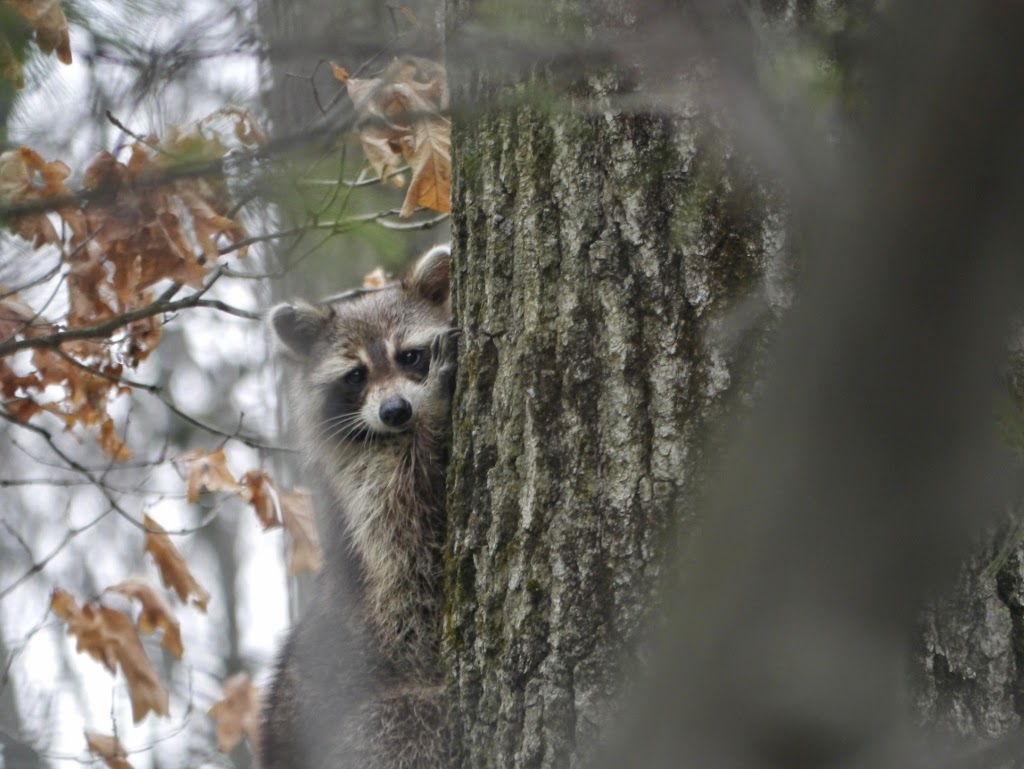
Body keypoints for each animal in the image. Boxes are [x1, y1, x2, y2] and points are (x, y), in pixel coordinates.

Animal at [262, 244, 454, 769]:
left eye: (410, 355)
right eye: (355, 375)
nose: (396, 411)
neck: (393, 436)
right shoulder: (368, 498)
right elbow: (413, 565)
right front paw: (435, 418)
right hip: (366, 731)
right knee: (413, 721)